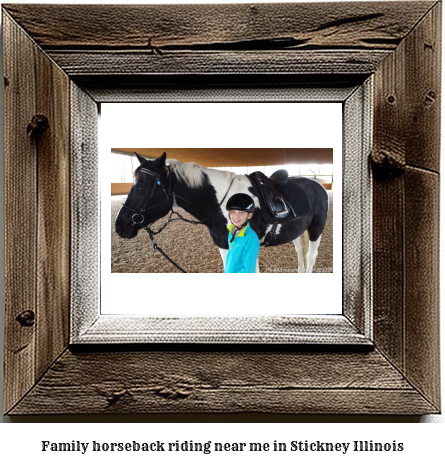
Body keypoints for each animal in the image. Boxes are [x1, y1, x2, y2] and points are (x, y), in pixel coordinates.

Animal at [115, 152, 330, 272]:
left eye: (140, 188)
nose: (119, 226)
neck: (225, 203)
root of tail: (317, 184)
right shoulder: (224, 246)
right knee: (300, 254)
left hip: (316, 230)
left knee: (311, 257)